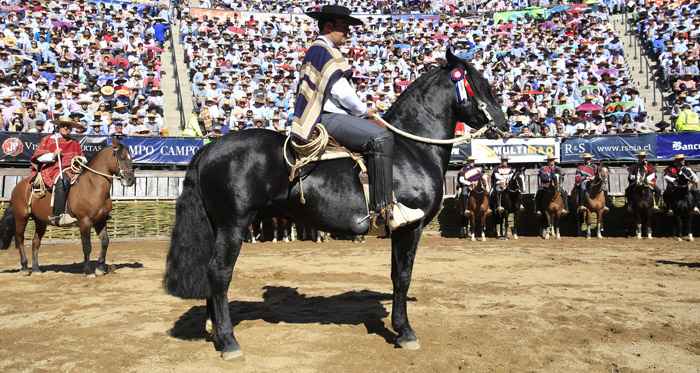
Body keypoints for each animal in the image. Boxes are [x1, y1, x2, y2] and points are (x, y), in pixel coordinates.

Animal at [0, 141, 135, 274]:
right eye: (122, 158)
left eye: (131, 158)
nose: (130, 180)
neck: (92, 186)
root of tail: (19, 186)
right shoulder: (85, 222)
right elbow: (87, 246)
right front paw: (88, 270)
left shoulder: (100, 220)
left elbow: (105, 241)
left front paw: (100, 268)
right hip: (21, 217)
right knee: (20, 239)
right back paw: (24, 267)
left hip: (40, 221)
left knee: (35, 242)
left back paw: (36, 268)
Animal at [161, 48, 506, 358]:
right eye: (484, 86)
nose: (505, 123)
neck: (413, 149)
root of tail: (209, 148)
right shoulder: (411, 227)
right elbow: (403, 277)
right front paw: (405, 332)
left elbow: (396, 275)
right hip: (233, 226)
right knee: (219, 274)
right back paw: (230, 342)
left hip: (218, 227)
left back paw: (216, 333)